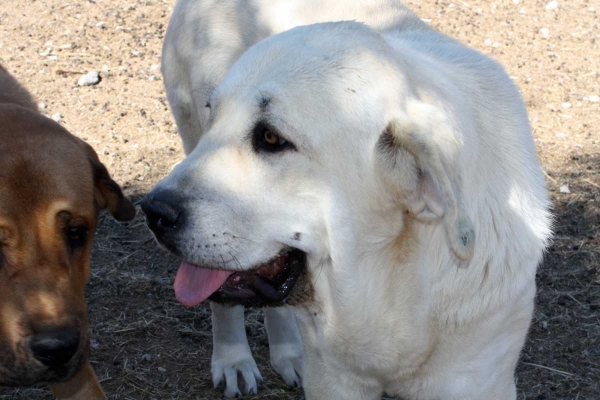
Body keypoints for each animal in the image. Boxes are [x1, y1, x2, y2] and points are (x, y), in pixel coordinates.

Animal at [139, 1, 548, 398]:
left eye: (271, 138)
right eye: (215, 116)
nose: (153, 210)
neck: (386, 275)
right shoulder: (334, 380)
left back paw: (289, 353)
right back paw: (233, 360)